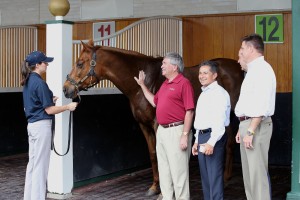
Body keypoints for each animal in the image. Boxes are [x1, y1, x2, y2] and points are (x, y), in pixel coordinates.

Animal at [63, 39, 244, 196]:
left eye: (80, 63)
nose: (66, 89)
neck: (141, 86)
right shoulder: (143, 125)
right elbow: (152, 154)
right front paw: (155, 186)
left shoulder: (157, 125)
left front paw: (163, 191)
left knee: (228, 143)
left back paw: (225, 178)